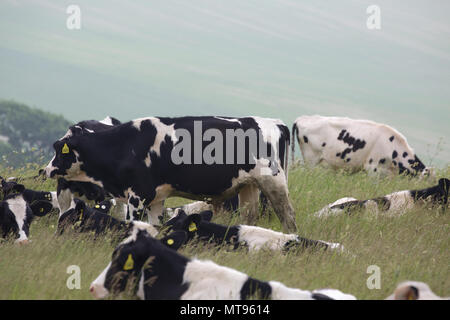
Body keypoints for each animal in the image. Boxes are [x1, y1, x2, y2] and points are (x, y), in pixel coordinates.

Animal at [44, 115, 298, 232]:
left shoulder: (137, 196)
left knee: (288, 217)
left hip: (274, 183)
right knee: (250, 218)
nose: (46, 169)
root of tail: (275, 122)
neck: (126, 144)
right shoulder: (156, 198)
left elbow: (133, 223)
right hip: (249, 187)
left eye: (58, 149)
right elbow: (153, 226)